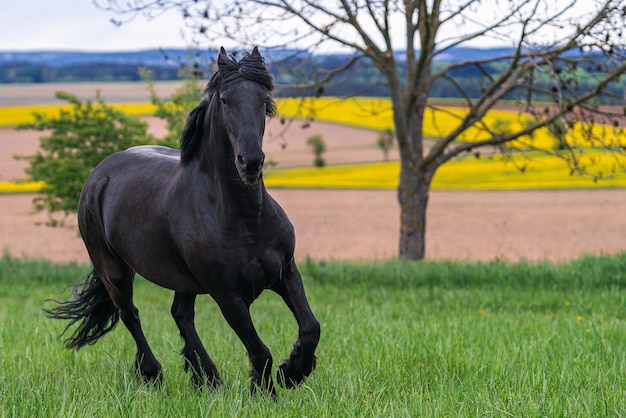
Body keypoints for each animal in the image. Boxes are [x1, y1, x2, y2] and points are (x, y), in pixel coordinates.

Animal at [45, 47, 316, 396]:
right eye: (225, 100)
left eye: (263, 99)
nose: (251, 162)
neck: (245, 218)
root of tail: (100, 173)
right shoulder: (228, 296)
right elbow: (260, 351)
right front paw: (268, 389)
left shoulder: (286, 272)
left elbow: (310, 328)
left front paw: (293, 372)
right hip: (114, 270)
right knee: (129, 314)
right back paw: (155, 374)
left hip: (182, 278)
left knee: (181, 315)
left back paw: (208, 379)